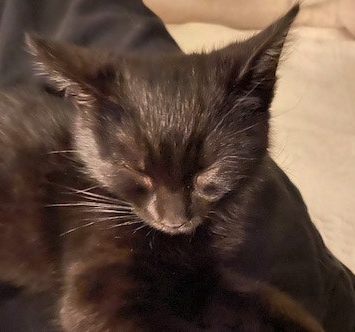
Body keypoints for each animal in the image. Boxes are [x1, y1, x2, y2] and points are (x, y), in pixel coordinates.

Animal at [0, 4, 355, 332]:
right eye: (137, 171)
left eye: (206, 171)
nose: (173, 219)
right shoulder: (95, 291)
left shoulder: (204, 277)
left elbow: (260, 299)